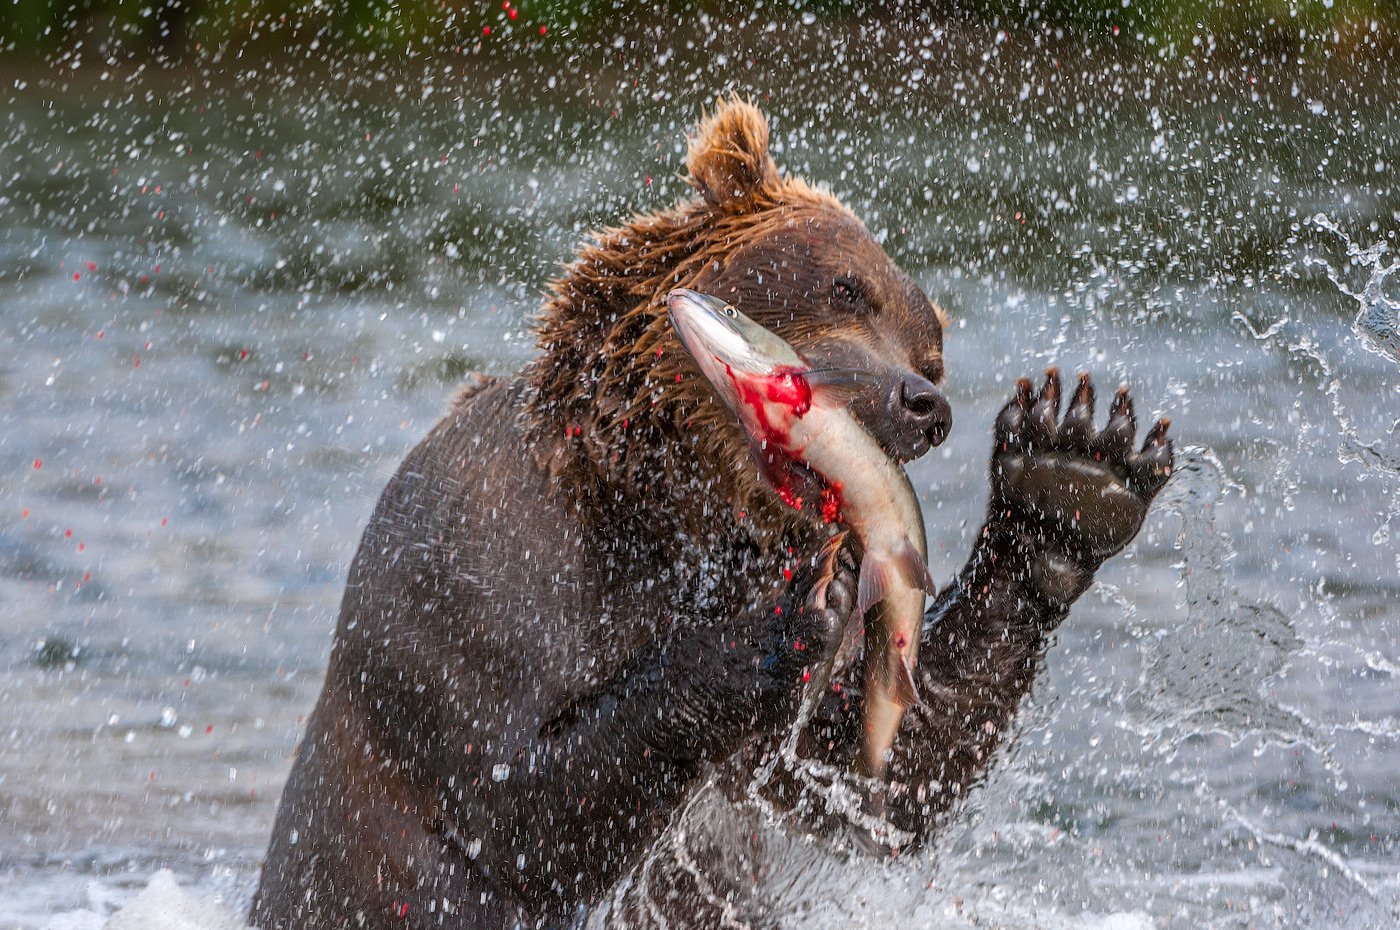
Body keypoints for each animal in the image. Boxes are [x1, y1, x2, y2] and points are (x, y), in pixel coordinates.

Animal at [252, 100, 1170, 930]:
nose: (923, 403)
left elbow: (865, 775)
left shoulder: (773, 746)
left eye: (930, 350)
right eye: (846, 286)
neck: (654, 506)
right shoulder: (477, 560)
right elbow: (513, 805)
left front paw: (1072, 469)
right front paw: (786, 615)